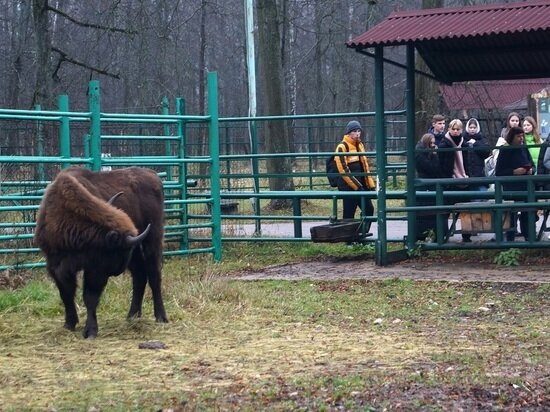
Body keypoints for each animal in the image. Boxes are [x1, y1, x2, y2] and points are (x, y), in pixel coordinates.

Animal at [35, 167, 168, 338]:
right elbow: (66, 294)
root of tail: (153, 176)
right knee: (139, 275)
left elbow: (90, 296)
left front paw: (90, 331)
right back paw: (132, 316)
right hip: (138, 248)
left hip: (152, 239)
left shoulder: (95, 270)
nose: (116, 271)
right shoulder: (55, 265)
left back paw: (161, 317)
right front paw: (69, 324)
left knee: (154, 275)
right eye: (116, 252)